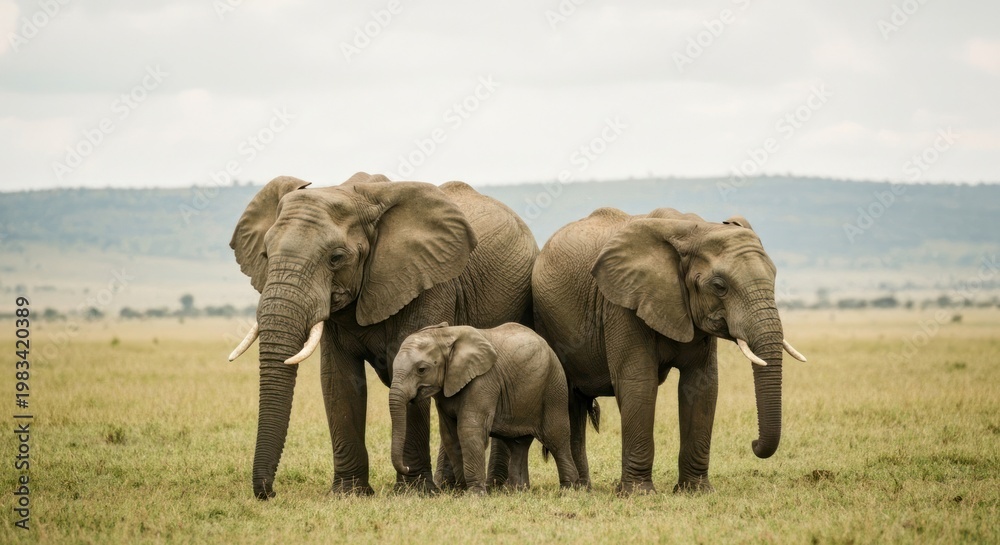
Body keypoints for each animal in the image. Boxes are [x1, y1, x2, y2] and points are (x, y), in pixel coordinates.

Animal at [227, 172, 538, 499]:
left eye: (336, 258)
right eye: (265, 254)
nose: (270, 493)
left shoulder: (429, 281)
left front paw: (414, 492)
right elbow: (338, 380)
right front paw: (349, 493)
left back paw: (490, 487)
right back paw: (451, 486)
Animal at [389, 322, 579, 494]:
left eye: (421, 369)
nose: (406, 468)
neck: (445, 334)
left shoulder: (484, 380)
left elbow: (468, 429)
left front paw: (474, 494)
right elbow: (450, 435)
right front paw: (462, 491)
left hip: (554, 387)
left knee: (556, 438)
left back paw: (568, 490)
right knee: (517, 444)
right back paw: (518, 491)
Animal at [531, 207, 806, 494]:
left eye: (774, 277)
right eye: (719, 286)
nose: (753, 443)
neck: (693, 231)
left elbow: (702, 385)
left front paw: (696, 491)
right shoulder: (622, 302)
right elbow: (639, 382)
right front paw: (638, 493)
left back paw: (582, 489)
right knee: (571, 401)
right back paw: (578, 490)